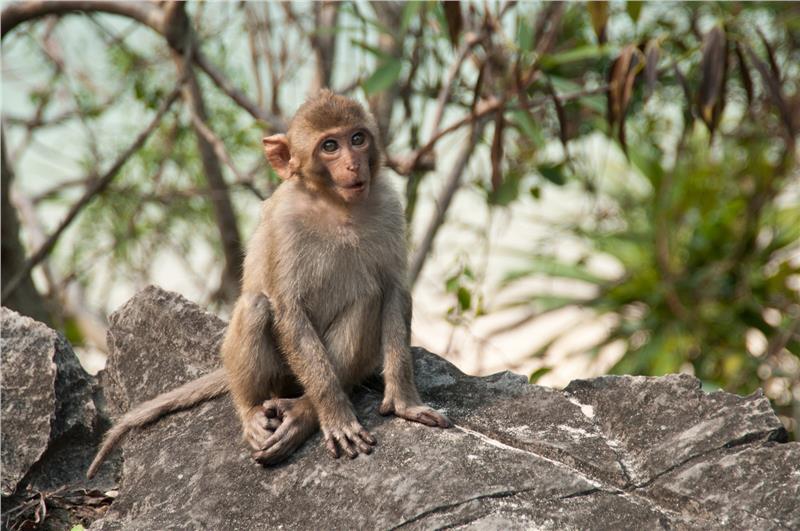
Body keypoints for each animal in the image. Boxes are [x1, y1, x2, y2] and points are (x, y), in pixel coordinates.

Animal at [87, 90, 450, 479]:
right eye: (330, 146)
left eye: (357, 138)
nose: (354, 165)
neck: (336, 205)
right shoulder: (285, 220)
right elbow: (287, 308)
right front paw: (334, 414)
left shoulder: (388, 205)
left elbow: (395, 291)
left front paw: (403, 403)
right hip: (278, 374)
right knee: (257, 306)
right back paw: (255, 411)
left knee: (367, 297)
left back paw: (302, 412)